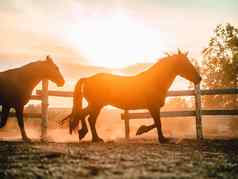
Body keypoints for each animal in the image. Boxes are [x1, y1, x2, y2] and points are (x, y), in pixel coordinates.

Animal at [60, 50, 202, 143]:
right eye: (185, 63)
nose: (199, 78)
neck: (155, 81)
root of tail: (88, 79)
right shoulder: (153, 107)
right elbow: (158, 123)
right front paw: (160, 138)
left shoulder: (153, 108)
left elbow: (156, 123)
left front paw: (144, 131)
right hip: (97, 105)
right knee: (86, 117)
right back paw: (90, 136)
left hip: (97, 105)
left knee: (86, 117)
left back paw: (91, 136)